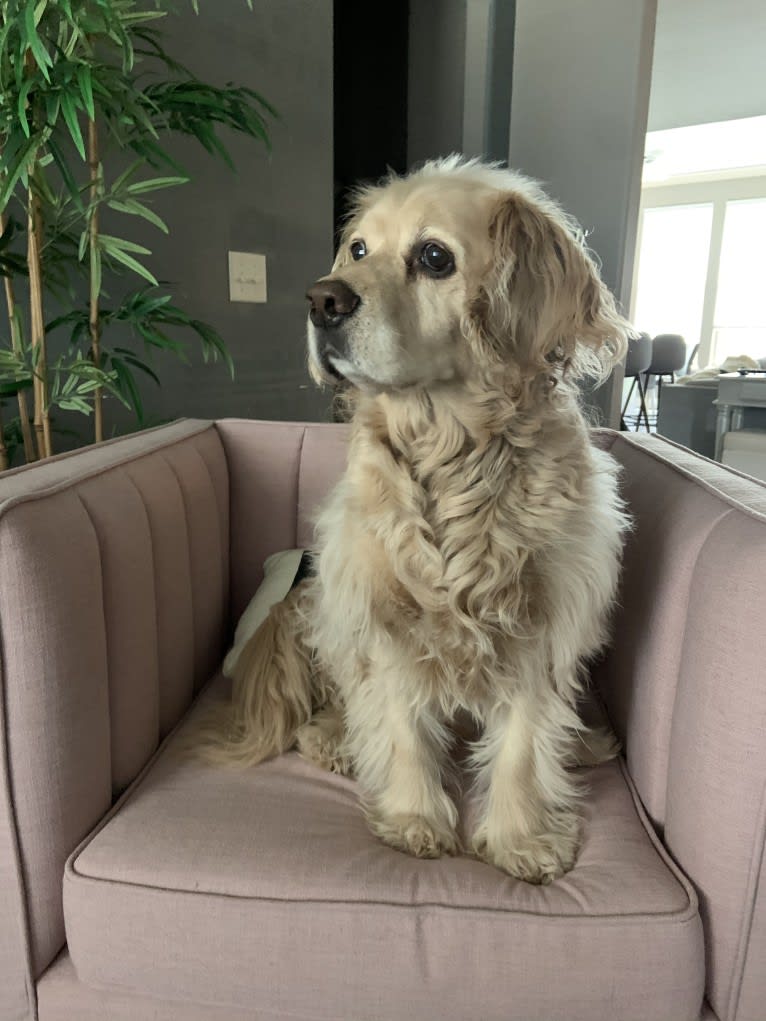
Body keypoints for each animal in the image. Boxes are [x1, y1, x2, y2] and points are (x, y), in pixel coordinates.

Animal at [204, 155, 629, 882]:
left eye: (434, 257)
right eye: (357, 249)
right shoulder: (381, 614)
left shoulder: (543, 623)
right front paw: (413, 819)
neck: (453, 451)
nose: (322, 300)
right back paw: (337, 741)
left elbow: (524, 742)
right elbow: (400, 724)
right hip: (316, 606)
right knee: (328, 709)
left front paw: (521, 838)